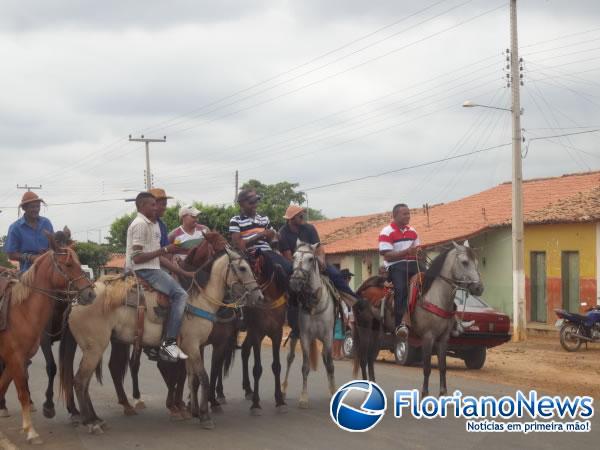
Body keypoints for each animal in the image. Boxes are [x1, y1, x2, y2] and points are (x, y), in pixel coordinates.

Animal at [0, 230, 95, 444]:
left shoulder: (19, 358)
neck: (22, 311)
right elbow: (26, 388)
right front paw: (32, 429)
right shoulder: (16, 356)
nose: (90, 294)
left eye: (79, 262)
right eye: (68, 264)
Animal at [59, 239, 264, 432]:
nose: (259, 297)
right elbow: (203, 377)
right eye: (243, 268)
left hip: (94, 348)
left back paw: (96, 419)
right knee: (80, 381)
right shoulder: (193, 345)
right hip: (95, 348)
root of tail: (77, 299)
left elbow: (192, 378)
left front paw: (194, 411)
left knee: (86, 381)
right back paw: (91, 422)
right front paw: (205, 416)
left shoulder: (192, 348)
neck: (200, 299)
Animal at [282, 241, 338, 410]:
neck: (315, 303)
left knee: (325, 359)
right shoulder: (305, 336)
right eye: (294, 257)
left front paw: (333, 392)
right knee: (290, 358)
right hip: (295, 335)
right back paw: (283, 389)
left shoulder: (328, 336)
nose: (295, 281)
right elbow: (305, 367)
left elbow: (330, 364)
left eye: (310, 259)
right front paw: (303, 398)